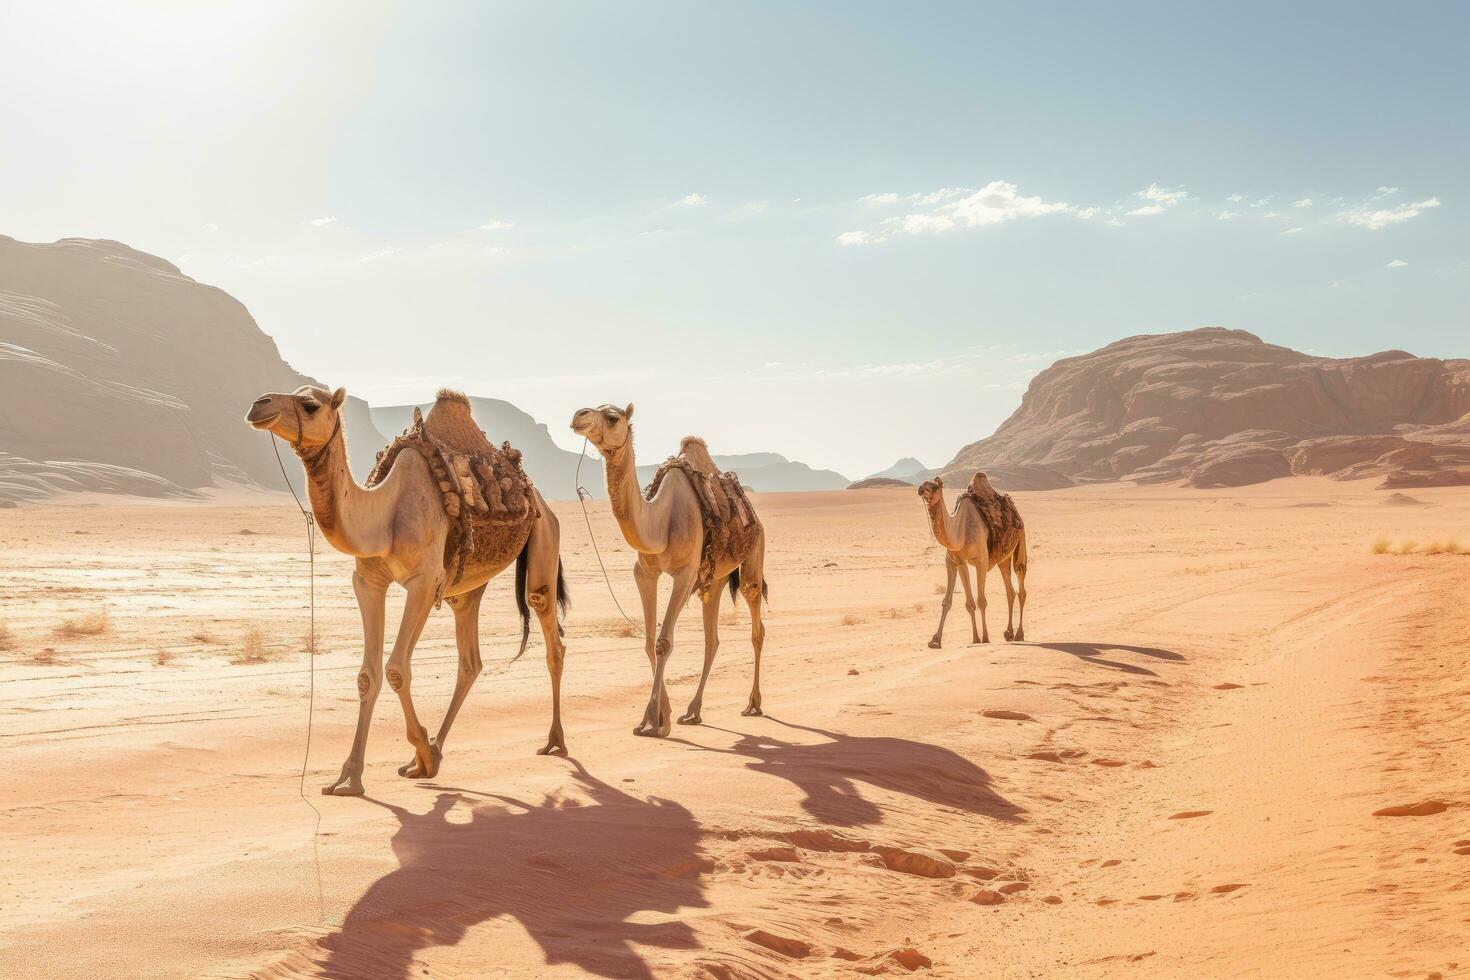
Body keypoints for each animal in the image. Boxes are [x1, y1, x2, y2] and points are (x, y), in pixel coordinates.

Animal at [244, 384, 564, 799]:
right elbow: (368, 675)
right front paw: (349, 777)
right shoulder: (368, 582)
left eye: (310, 404)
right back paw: (434, 754)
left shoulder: (424, 583)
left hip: (544, 540)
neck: (384, 513)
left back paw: (554, 742)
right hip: (466, 587)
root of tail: (536, 496)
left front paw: (420, 751)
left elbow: (397, 669)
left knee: (548, 630)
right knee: (470, 661)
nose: (258, 405)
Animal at [564, 405, 764, 734]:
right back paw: (693, 711)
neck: (660, 522)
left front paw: (651, 721)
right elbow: (648, 641)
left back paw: (753, 704)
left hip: (753, 559)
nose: (579, 415)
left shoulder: (685, 574)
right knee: (712, 639)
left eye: (613, 417)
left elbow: (663, 642)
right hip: (715, 579)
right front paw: (662, 716)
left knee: (756, 626)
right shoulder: (645, 573)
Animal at [911, 476, 1029, 652]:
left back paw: (1019, 634)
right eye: (924, 483)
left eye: (934, 486)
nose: (920, 489)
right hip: (1004, 559)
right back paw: (1008, 633)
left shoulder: (982, 561)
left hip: (1021, 540)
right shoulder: (955, 561)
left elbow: (981, 601)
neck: (960, 531)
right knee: (1010, 591)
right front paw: (937, 640)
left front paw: (985, 637)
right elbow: (954, 602)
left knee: (1021, 585)